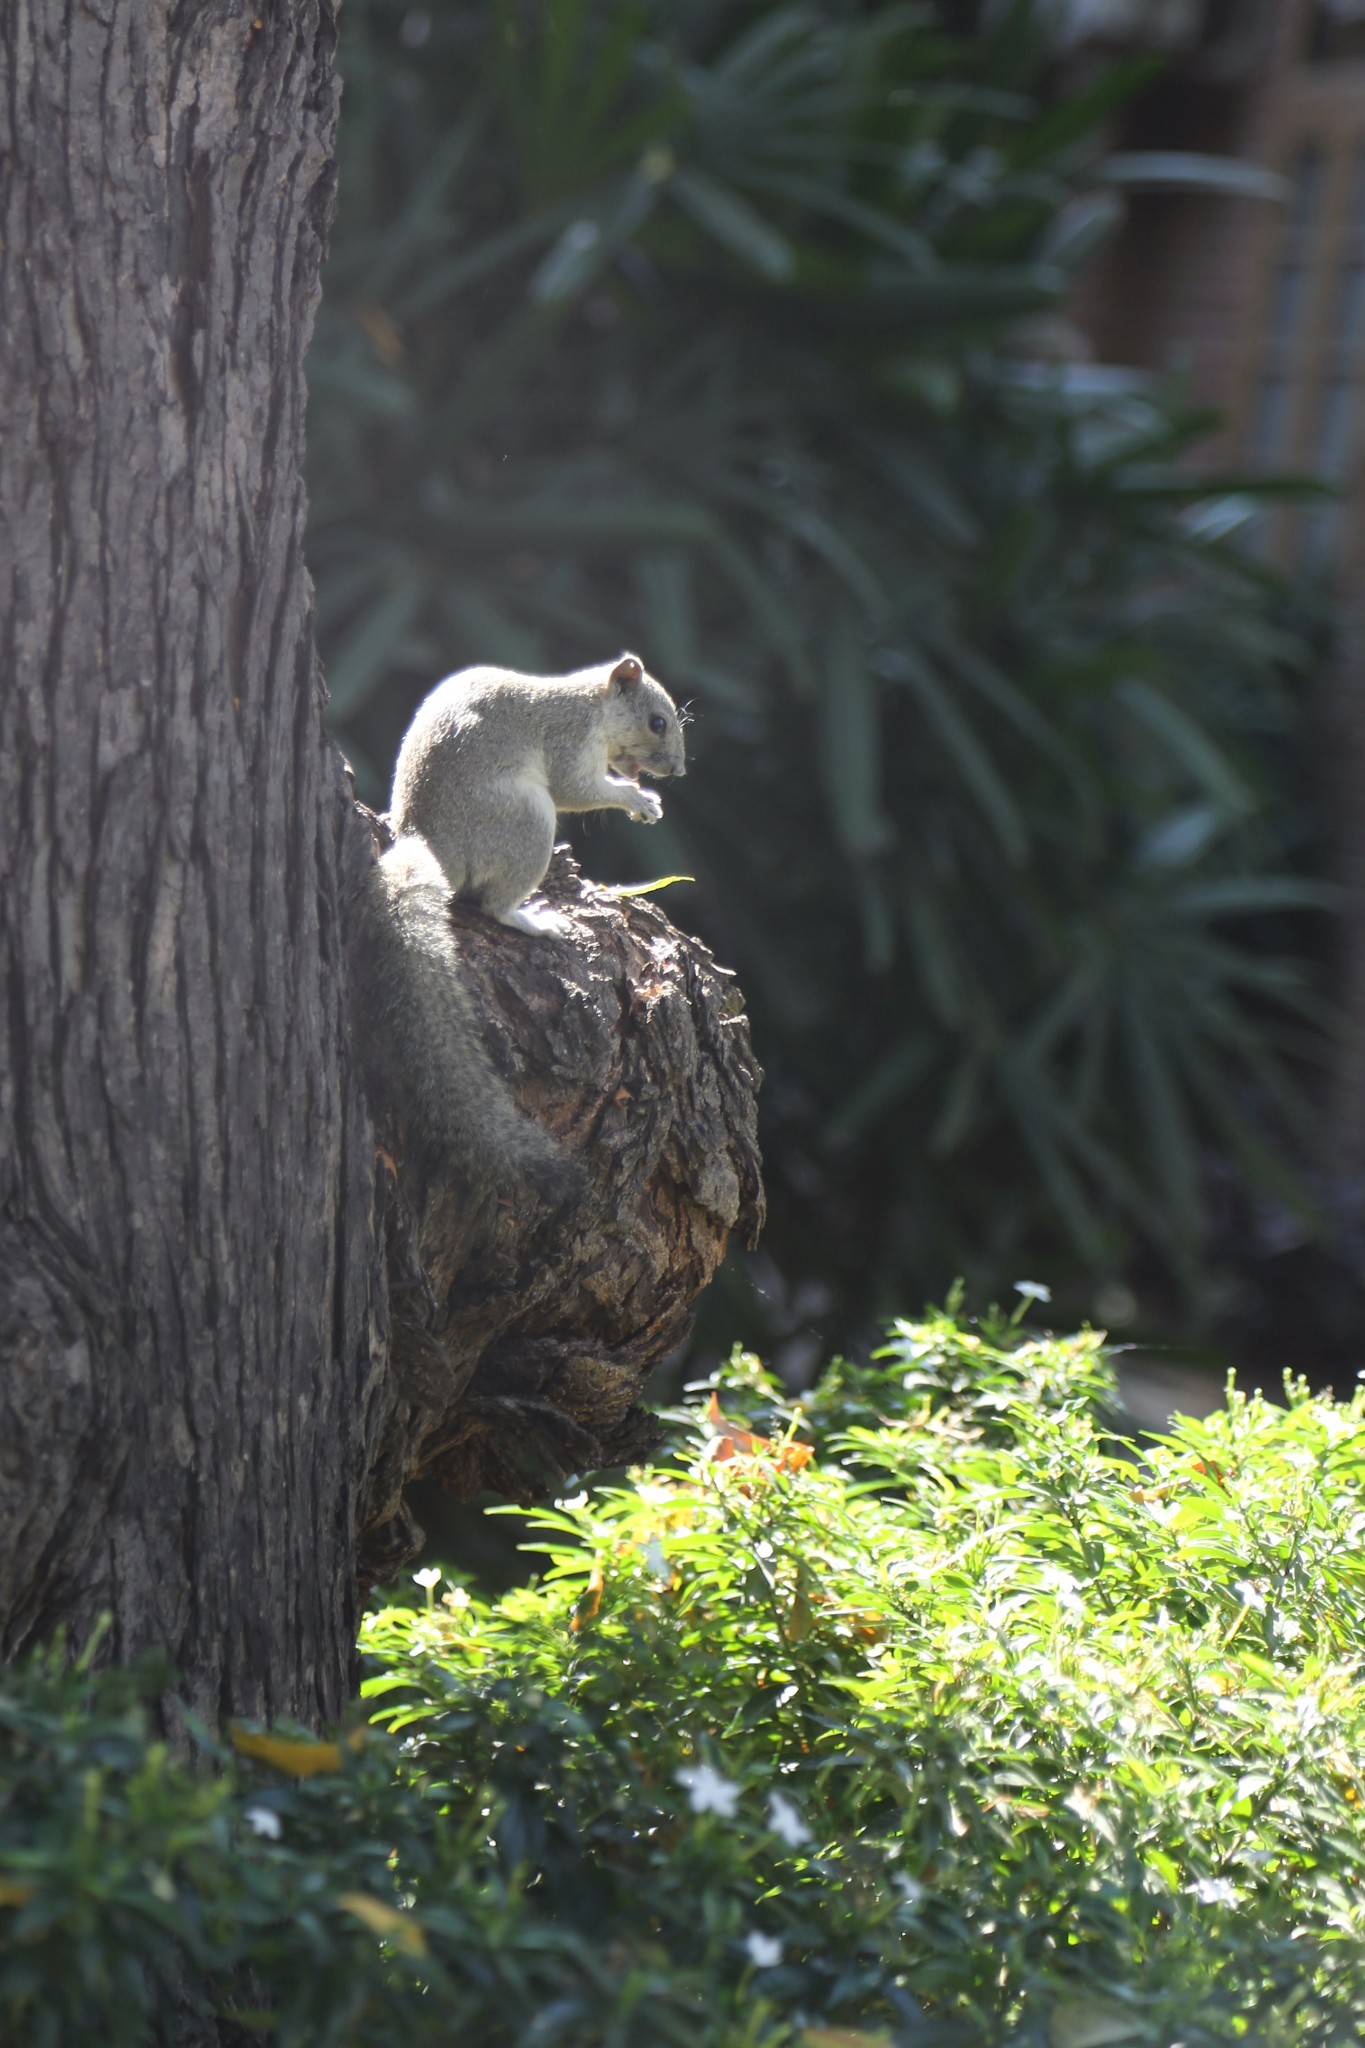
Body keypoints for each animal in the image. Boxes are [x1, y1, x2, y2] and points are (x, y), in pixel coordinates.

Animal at [358, 651, 687, 1196]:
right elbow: (578, 790)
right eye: (657, 722)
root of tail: (429, 844)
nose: (678, 770)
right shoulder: (567, 743)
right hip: (527, 819)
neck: (592, 707)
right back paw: (534, 919)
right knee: (495, 903)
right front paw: (637, 799)